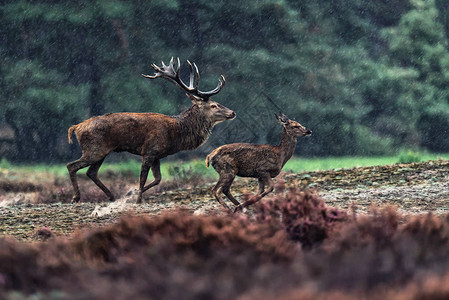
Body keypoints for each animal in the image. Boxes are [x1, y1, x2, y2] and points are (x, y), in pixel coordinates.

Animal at [67, 57, 234, 203]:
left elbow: (157, 179)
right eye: (214, 105)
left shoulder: (157, 155)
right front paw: (137, 199)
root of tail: (76, 127)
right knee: (72, 166)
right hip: (94, 149)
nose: (233, 112)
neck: (176, 134)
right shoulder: (149, 151)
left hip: (102, 151)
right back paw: (76, 197)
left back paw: (112, 196)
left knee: (91, 172)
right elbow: (143, 178)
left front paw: (131, 194)